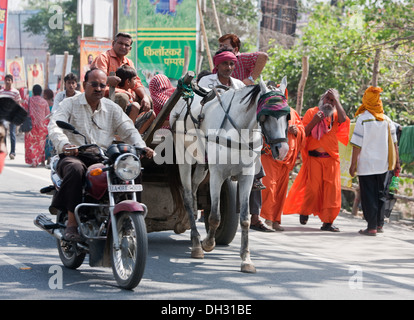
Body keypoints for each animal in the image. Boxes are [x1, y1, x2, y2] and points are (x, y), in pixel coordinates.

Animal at [170, 77, 290, 272]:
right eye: (265, 115)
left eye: (287, 116)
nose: (283, 149)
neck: (240, 131)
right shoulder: (217, 174)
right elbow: (214, 216)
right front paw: (208, 243)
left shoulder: (246, 176)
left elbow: (245, 219)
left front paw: (246, 259)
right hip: (184, 156)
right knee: (188, 196)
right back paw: (196, 244)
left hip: (202, 164)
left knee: (195, 191)